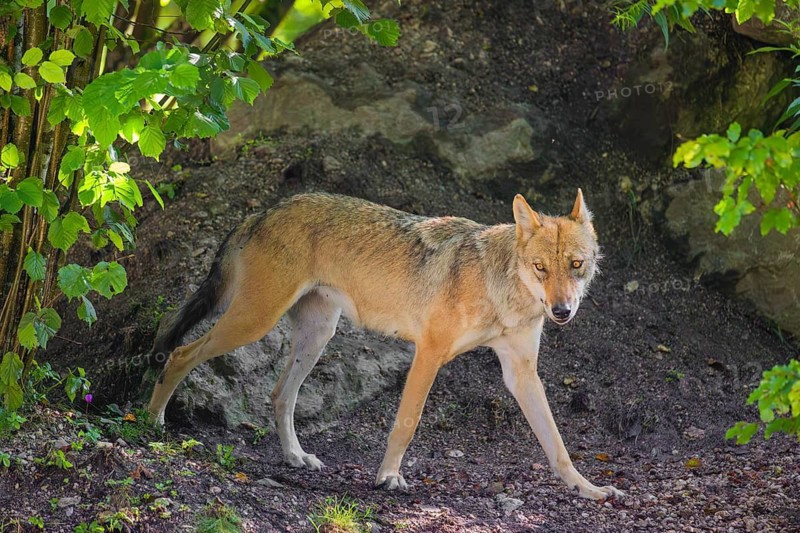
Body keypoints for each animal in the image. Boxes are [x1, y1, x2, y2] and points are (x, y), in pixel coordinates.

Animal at [148, 190, 623, 500]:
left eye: (576, 265)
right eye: (540, 268)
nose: (561, 311)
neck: (501, 290)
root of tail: (262, 211)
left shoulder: (521, 373)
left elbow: (557, 445)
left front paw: (589, 489)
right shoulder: (428, 353)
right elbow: (406, 423)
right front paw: (388, 477)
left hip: (317, 337)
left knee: (280, 394)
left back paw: (296, 457)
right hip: (254, 324)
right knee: (179, 354)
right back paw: (151, 424)